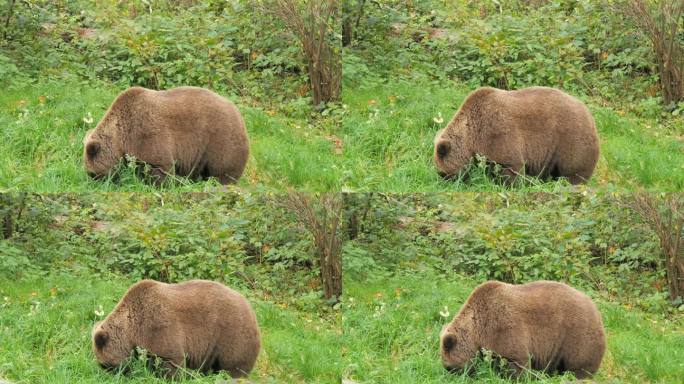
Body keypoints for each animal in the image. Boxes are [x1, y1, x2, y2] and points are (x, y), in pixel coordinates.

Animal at [83, 86, 248, 184]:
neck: (122, 136)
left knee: (223, 170)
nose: (93, 182)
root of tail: (237, 112)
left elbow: (160, 165)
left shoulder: (145, 134)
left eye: (92, 173)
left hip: (220, 139)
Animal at [92, 280, 260, 378]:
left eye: (105, 364)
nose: (109, 375)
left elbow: (171, 360)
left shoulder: (158, 327)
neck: (132, 329)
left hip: (231, 334)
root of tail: (250, 307)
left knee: (234, 366)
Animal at [432, 88, 600, 184]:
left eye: (442, 172)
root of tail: (589, 113)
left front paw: (509, 184)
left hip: (570, 139)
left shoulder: (496, 132)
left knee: (574, 171)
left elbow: (510, 165)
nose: (444, 181)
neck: (472, 135)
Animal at [438, 280, 604, 378]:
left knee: (580, 366)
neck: (478, 329)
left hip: (576, 335)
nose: (452, 376)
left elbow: (517, 361)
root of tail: (595, 306)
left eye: (449, 367)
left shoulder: (503, 327)